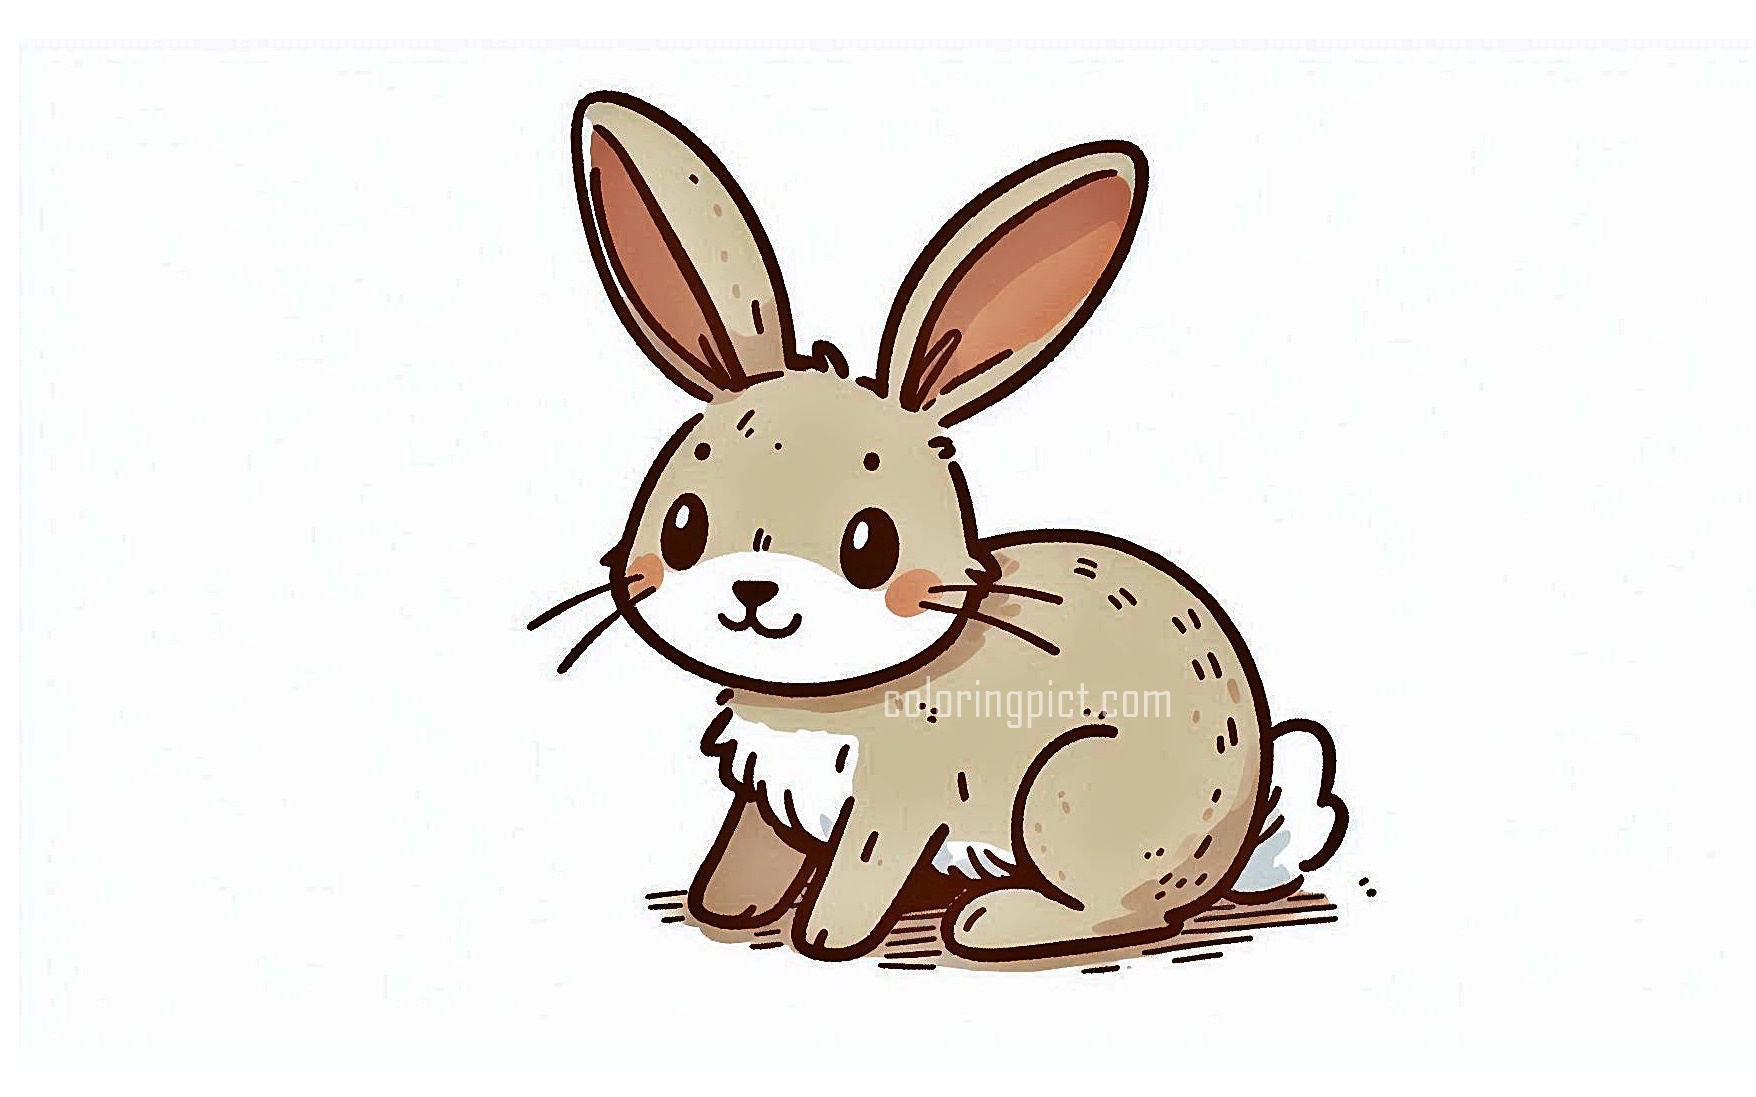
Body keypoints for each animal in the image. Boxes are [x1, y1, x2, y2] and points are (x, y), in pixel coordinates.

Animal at [536, 90, 1349, 963]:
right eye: (684, 524)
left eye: (870, 544)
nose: (754, 591)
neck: (827, 691)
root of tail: (1232, 836)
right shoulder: (768, 798)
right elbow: (751, 845)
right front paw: (724, 907)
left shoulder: (898, 801)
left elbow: (861, 869)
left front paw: (825, 936)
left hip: (1068, 794)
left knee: (1122, 911)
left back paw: (994, 919)